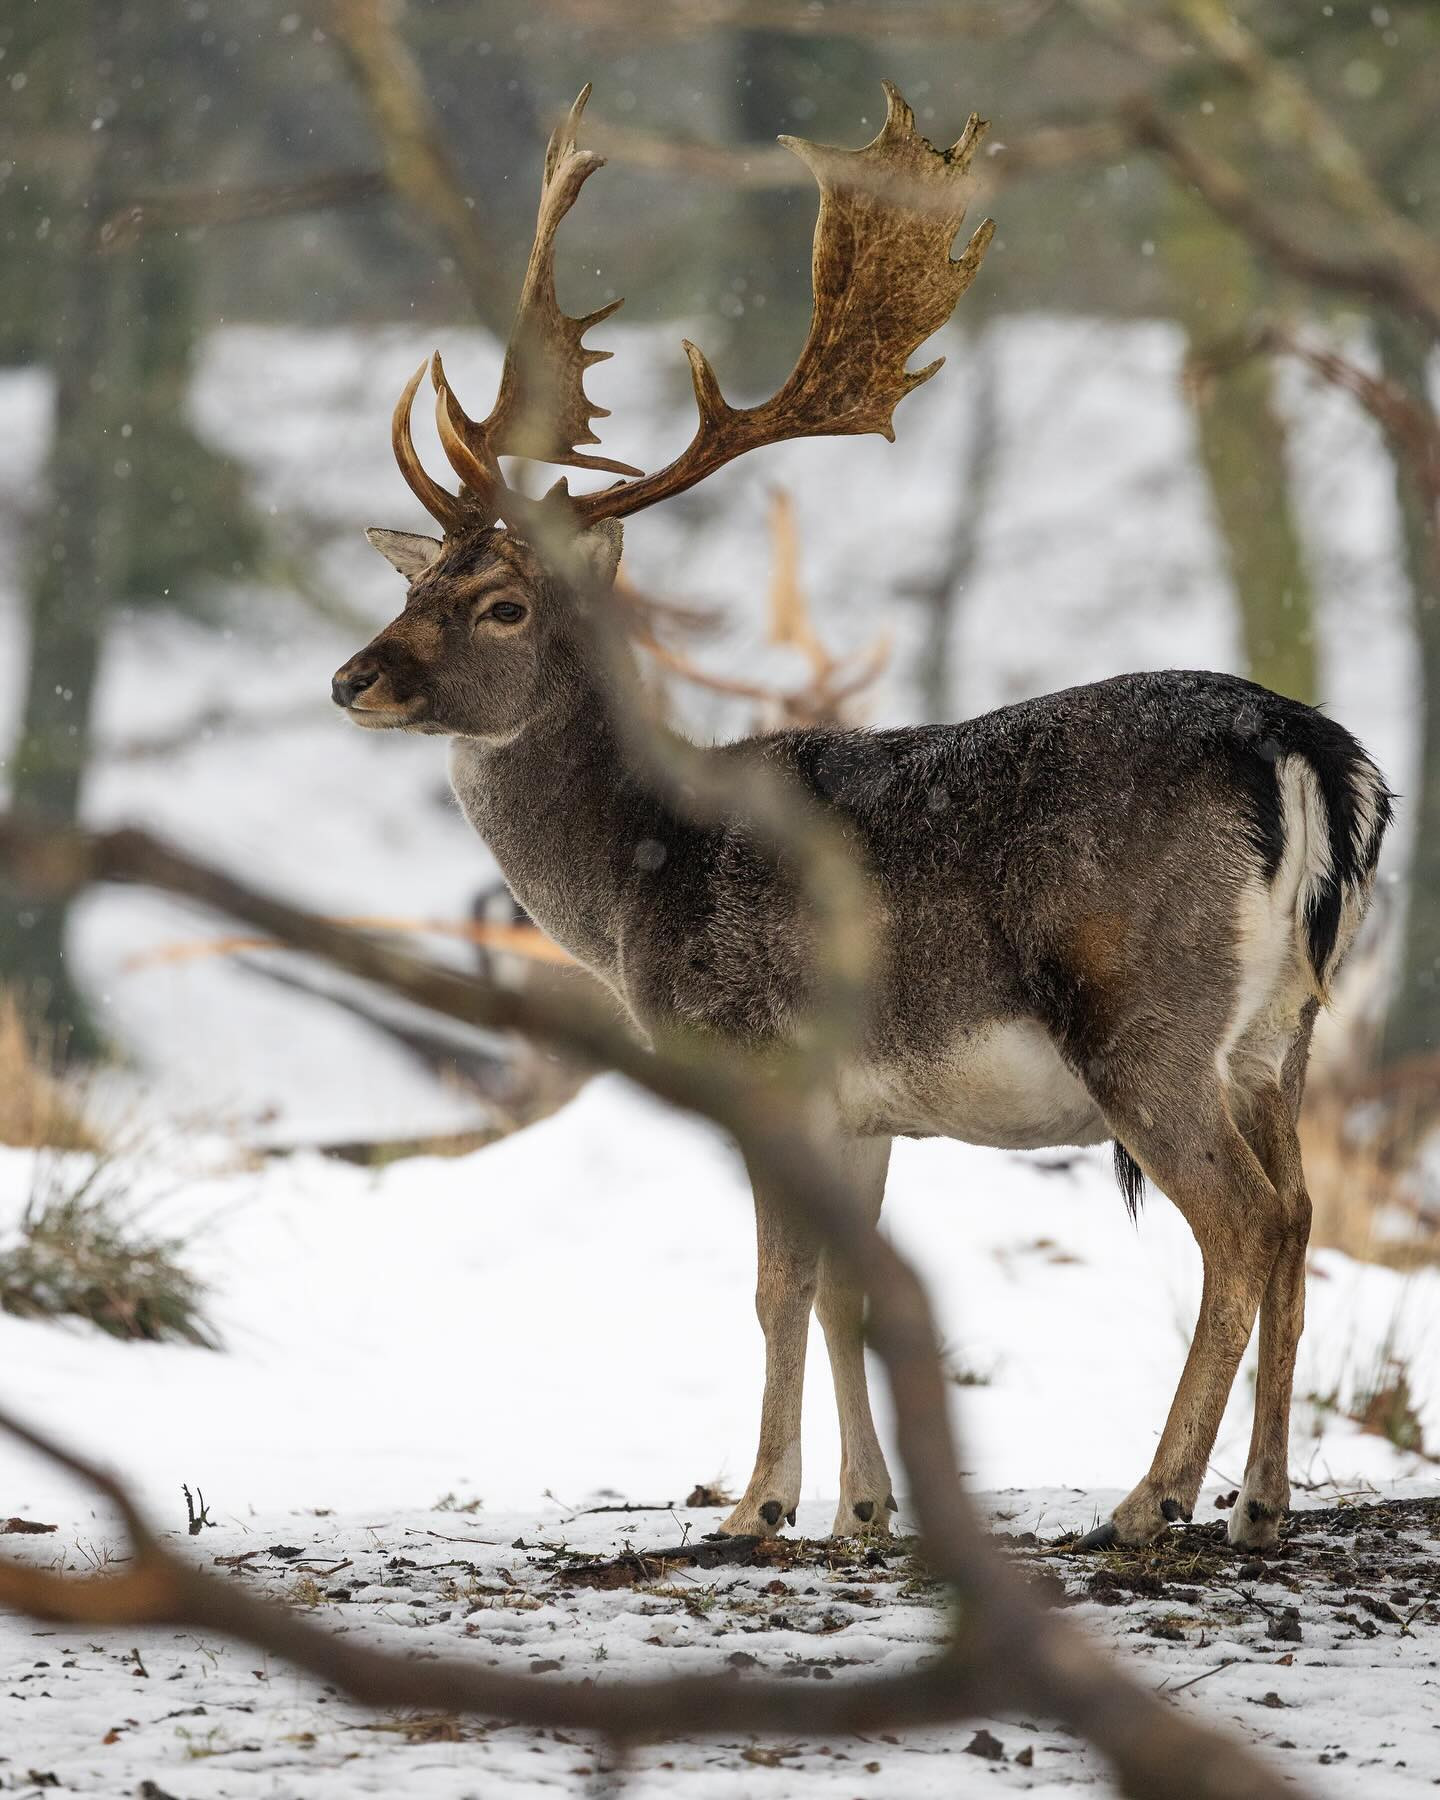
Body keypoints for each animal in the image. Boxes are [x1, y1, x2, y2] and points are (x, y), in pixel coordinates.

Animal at [331, 84, 1391, 1551]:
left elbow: (775, 1285)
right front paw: (869, 1510)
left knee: (1237, 1228)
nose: (353, 678)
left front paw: (756, 1505)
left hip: (1144, 1015)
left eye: (501, 604)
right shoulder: (867, 1105)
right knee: (1295, 1218)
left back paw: (1150, 1502)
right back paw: (1263, 1505)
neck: (632, 881)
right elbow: (849, 1292)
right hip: (1279, 1033)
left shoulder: (755, 1054)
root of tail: (1306, 750)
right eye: (417, 579)